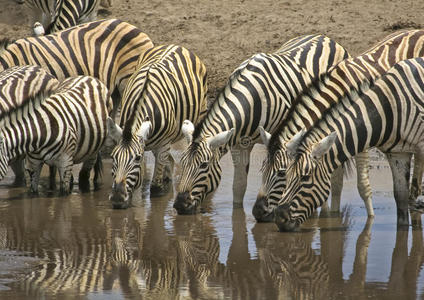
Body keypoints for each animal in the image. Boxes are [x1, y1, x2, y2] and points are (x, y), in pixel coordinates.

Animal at [107, 44, 208, 209]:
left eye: (137, 158)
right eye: (112, 157)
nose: (116, 197)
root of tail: (175, 45)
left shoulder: (163, 145)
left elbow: (155, 189)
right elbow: (138, 186)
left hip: (200, 111)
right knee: (170, 161)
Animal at [173, 34, 352, 214]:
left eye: (203, 165)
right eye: (182, 162)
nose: (180, 205)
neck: (251, 99)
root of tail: (324, 37)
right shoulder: (240, 145)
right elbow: (239, 186)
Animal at [253, 29, 424, 223]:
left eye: (282, 173)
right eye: (262, 169)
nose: (257, 212)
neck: (339, 89)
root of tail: (416, 30)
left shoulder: (362, 135)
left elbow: (362, 185)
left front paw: (371, 219)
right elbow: (335, 182)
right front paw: (332, 217)